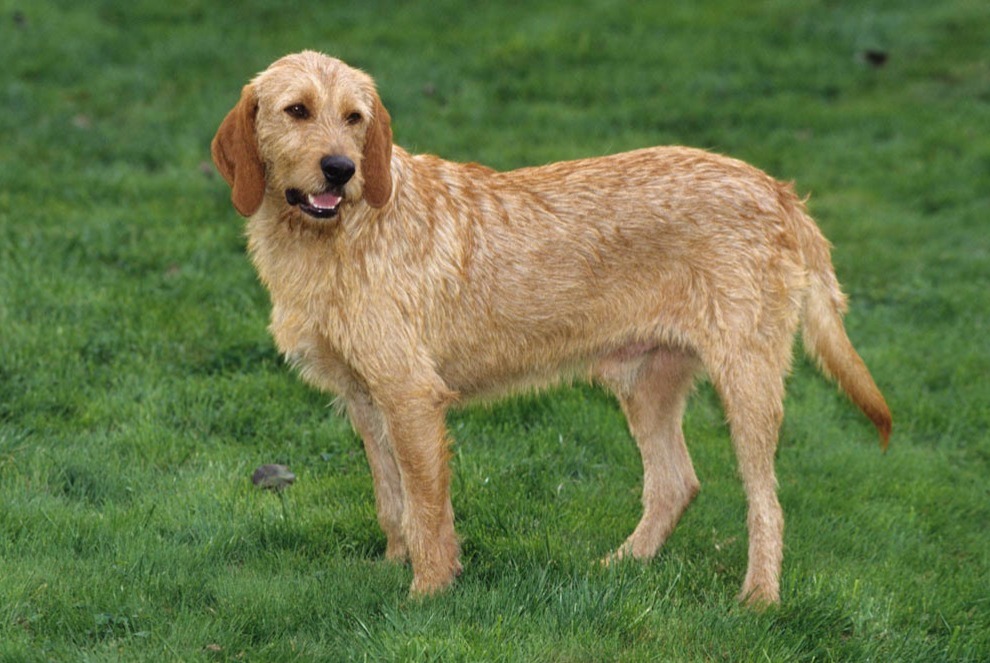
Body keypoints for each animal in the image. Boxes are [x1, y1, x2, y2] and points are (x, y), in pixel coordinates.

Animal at [211, 49, 892, 604]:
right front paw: (393, 567)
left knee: (765, 502)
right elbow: (391, 500)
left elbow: (427, 507)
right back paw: (621, 566)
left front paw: (428, 591)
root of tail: (778, 190)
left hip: (747, 384)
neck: (338, 235)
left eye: (355, 118)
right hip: (646, 381)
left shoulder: (410, 397)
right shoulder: (366, 399)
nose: (341, 169)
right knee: (675, 483)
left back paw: (759, 599)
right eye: (297, 110)